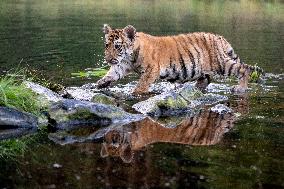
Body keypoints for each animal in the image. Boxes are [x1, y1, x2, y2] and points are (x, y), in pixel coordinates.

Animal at [96, 23, 262, 94]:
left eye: (117, 46)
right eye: (106, 45)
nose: (108, 59)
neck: (129, 56)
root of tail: (219, 37)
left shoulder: (151, 70)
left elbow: (141, 85)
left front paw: (134, 93)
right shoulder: (121, 65)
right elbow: (112, 74)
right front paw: (101, 83)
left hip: (222, 64)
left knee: (243, 69)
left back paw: (240, 88)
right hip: (205, 68)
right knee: (206, 79)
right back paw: (195, 88)